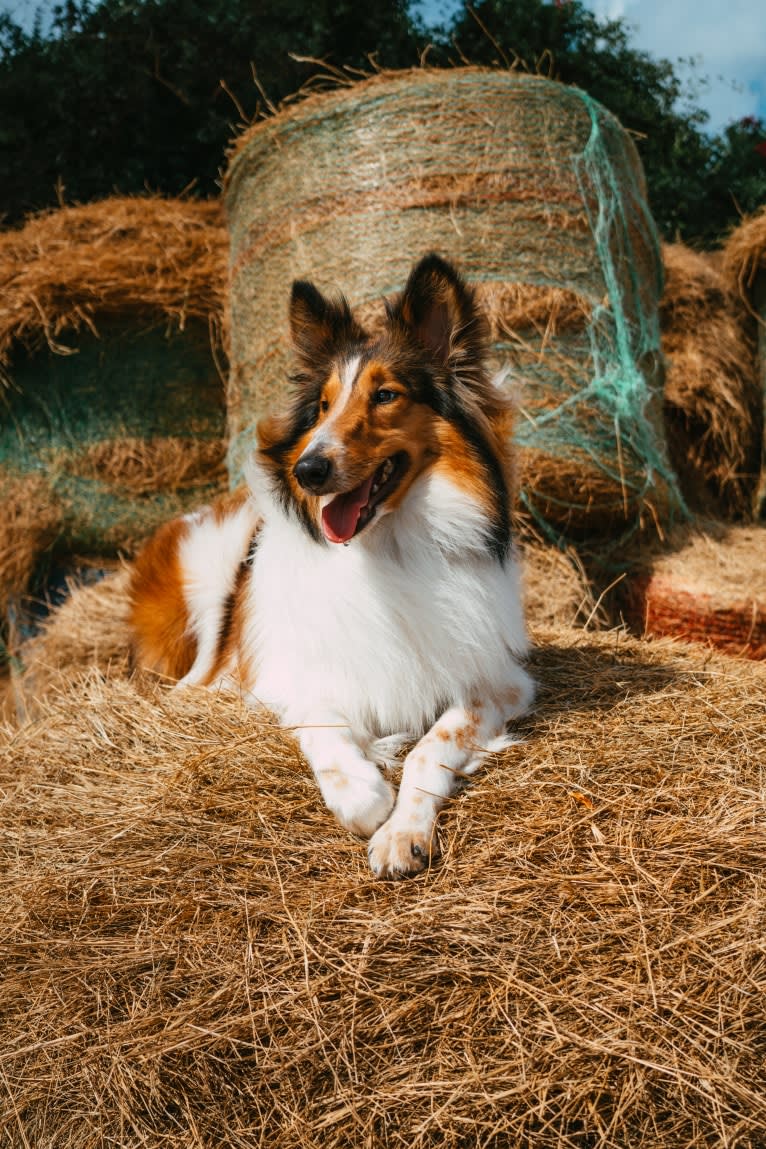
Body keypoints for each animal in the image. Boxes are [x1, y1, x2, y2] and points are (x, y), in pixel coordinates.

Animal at [130, 253, 532, 877]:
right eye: (322, 405)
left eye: (386, 395)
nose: (309, 470)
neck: (388, 548)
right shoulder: (289, 678)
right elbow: (331, 736)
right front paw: (369, 797)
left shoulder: (500, 683)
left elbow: (432, 746)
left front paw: (402, 832)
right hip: (205, 572)